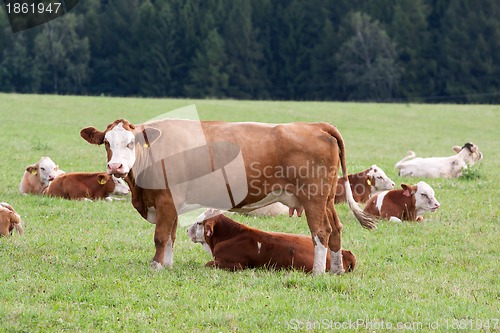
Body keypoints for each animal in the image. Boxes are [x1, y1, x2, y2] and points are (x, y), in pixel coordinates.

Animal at [187, 209, 356, 272]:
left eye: (198, 223)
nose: (187, 230)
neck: (228, 235)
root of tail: (344, 252)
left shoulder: (235, 265)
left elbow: (208, 263)